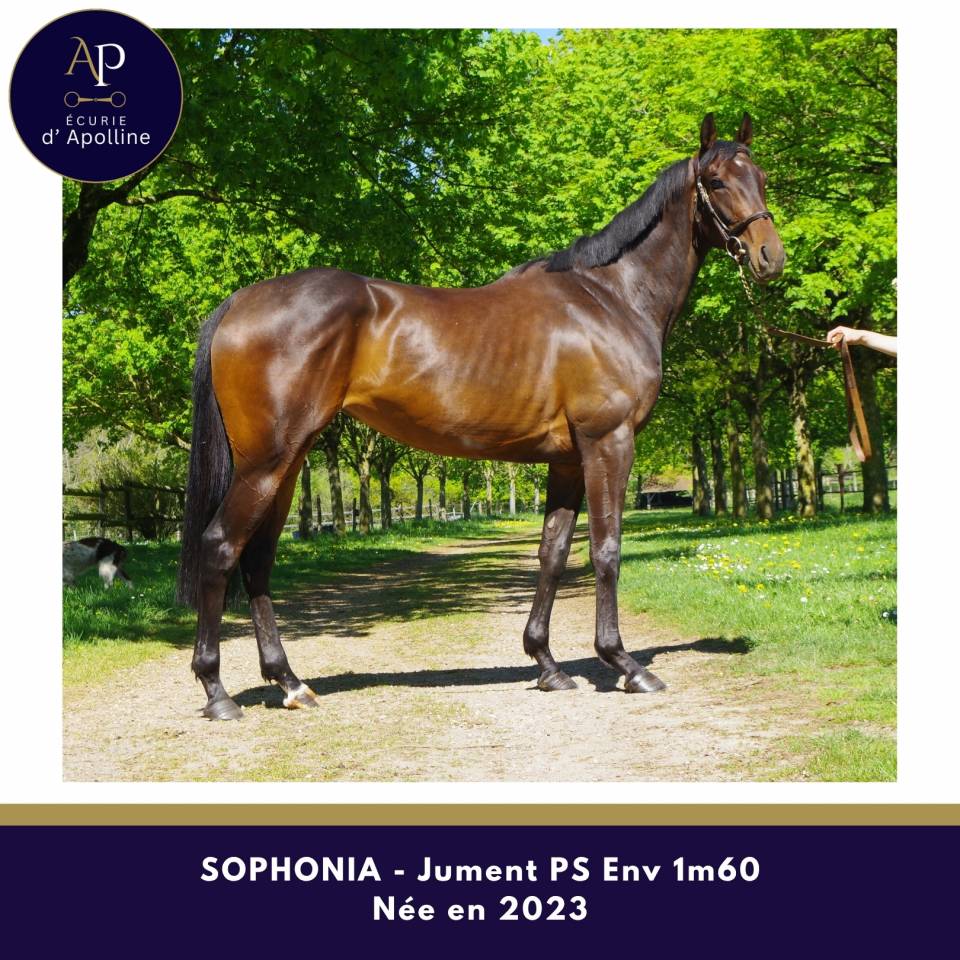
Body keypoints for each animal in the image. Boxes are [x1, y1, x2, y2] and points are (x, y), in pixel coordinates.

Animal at [176, 112, 784, 720]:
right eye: (717, 181)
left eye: (760, 177)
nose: (769, 258)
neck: (610, 298)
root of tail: (238, 303)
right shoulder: (608, 443)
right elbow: (606, 550)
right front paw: (625, 665)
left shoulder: (568, 460)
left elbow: (552, 553)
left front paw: (547, 665)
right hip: (266, 463)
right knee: (221, 548)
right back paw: (217, 692)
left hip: (288, 463)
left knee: (258, 560)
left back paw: (289, 682)